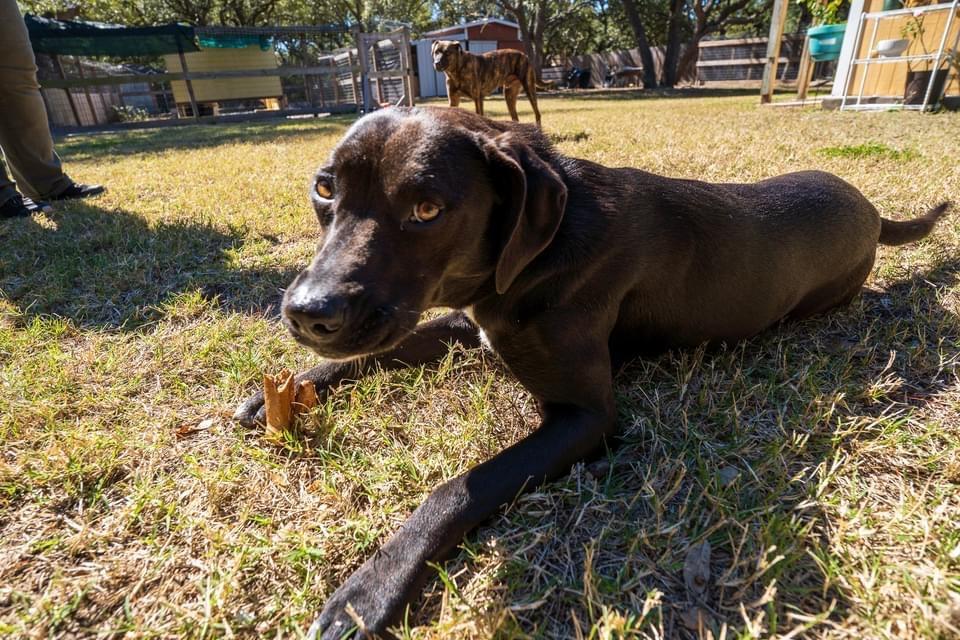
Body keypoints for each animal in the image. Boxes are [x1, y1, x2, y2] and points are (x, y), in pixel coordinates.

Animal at [234, 105, 952, 636]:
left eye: (427, 209)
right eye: (325, 188)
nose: (307, 313)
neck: (541, 245)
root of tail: (873, 211)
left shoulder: (585, 415)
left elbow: (457, 489)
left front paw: (367, 593)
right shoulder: (468, 324)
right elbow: (377, 353)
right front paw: (287, 390)